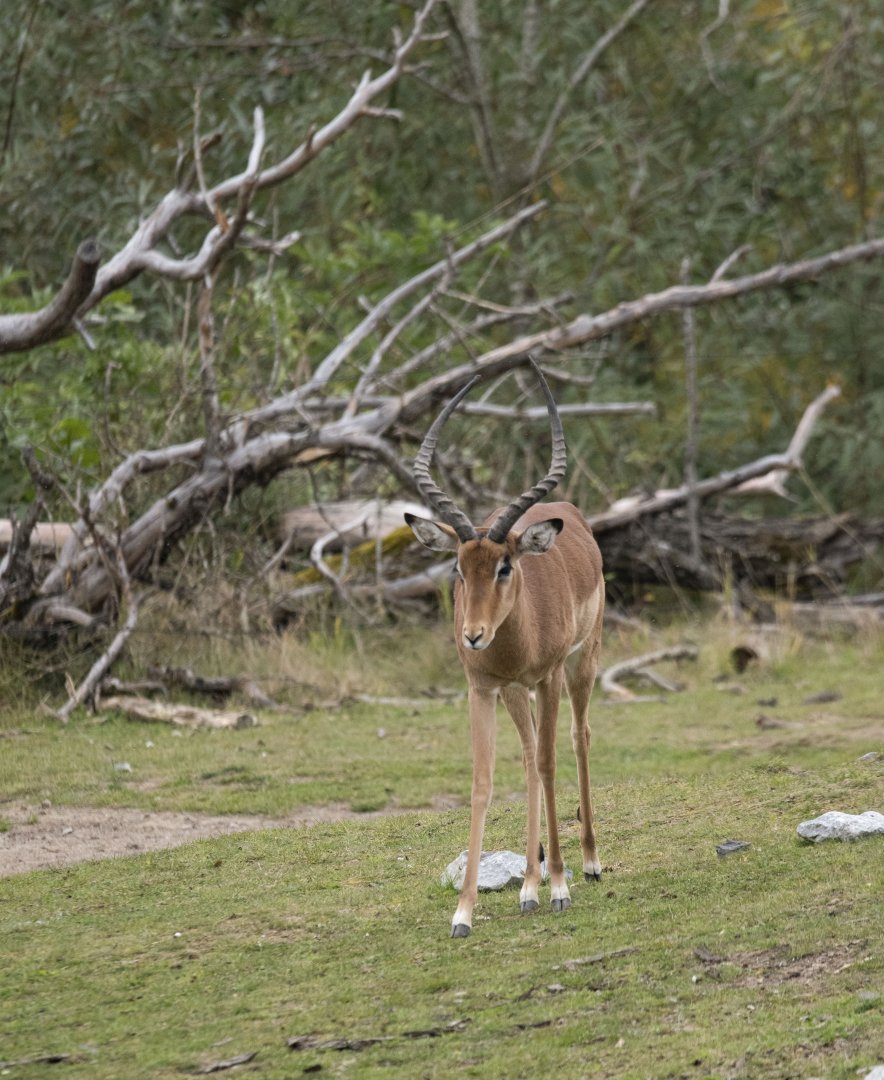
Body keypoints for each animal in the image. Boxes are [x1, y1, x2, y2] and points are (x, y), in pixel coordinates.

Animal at [405, 361, 605, 938]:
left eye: (505, 566)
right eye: (458, 566)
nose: (472, 635)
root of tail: (567, 510)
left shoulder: (548, 675)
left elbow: (550, 762)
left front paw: (558, 886)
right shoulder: (483, 688)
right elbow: (484, 780)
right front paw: (464, 912)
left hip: (582, 663)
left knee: (576, 739)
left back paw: (585, 863)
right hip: (518, 692)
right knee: (529, 752)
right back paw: (530, 884)